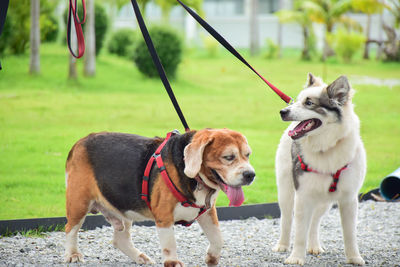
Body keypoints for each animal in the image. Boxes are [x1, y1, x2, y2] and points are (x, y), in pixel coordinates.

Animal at [64, 129, 255, 266]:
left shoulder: (208, 213)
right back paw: (73, 254)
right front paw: (173, 263)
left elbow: (218, 238)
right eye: (228, 157)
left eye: (247, 155)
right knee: (70, 229)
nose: (250, 175)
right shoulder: (164, 216)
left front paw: (212, 258)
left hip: (123, 208)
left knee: (120, 240)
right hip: (79, 203)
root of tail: (79, 142)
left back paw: (139, 257)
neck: (197, 178)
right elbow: (170, 244)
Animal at [274, 74, 368, 266]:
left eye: (309, 103)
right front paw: (296, 257)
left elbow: (350, 234)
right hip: (286, 193)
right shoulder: (302, 196)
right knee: (286, 219)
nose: (283, 111)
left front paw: (354, 257)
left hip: (325, 201)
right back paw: (283, 245)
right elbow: (299, 232)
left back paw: (314, 246)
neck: (327, 147)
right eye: (299, 100)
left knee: (314, 222)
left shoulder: (349, 199)